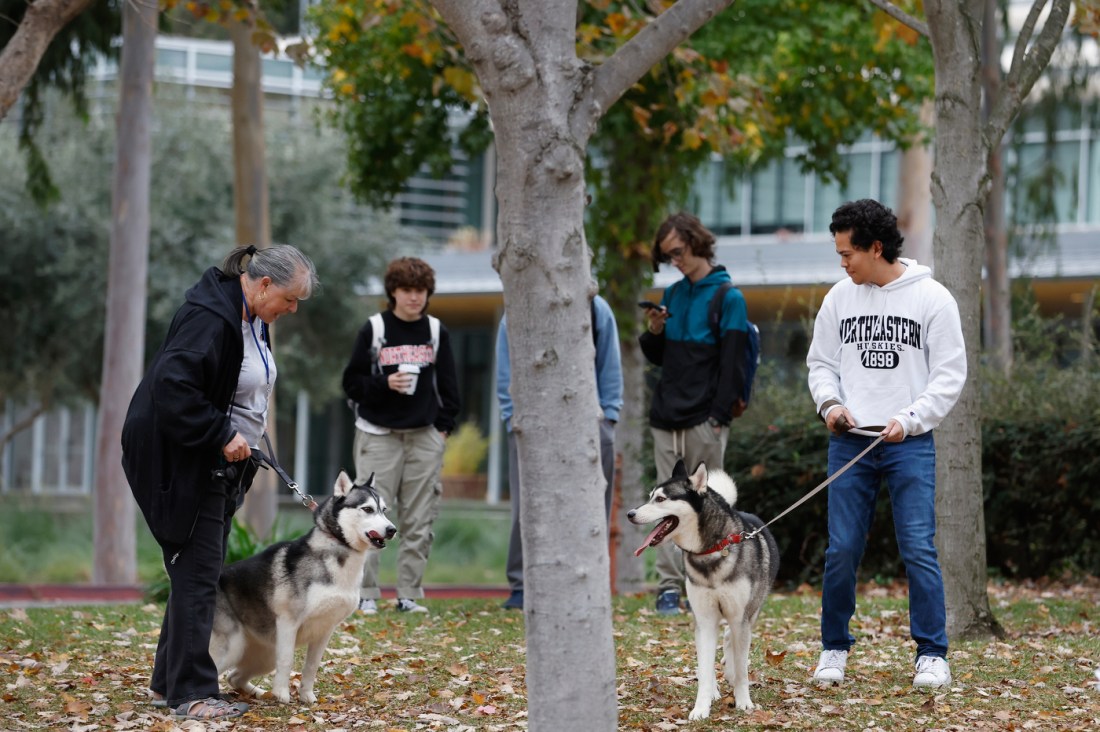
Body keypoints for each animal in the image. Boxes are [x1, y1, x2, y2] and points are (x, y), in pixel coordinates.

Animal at [206, 471, 396, 704]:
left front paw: (307, 697)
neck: (338, 551)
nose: (392, 530)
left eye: (384, 510)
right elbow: (287, 660)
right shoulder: (289, 622)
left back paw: (260, 693)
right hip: (232, 646)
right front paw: (282, 695)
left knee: (234, 677)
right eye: (367, 509)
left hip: (265, 655)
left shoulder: (325, 629)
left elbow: (312, 666)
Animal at [633, 460, 778, 717]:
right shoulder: (705, 618)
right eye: (650, 497)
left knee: (732, 637)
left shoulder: (740, 615)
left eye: (660, 499)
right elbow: (704, 668)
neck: (711, 550)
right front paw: (701, 707)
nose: (630, 514)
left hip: (751, 611)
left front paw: (743, 701)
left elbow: (742, 667)